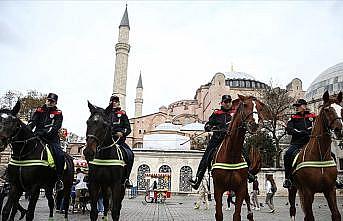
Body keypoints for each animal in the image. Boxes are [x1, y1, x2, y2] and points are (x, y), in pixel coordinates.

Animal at [288, 90, 342, 220]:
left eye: (341, 108)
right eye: (327, 109)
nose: (339, 129)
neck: (319, 156)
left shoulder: (330, 190)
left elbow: (336, 214)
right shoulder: (308, 191)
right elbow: (309, 216)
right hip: (293, 188)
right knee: (292, 209)